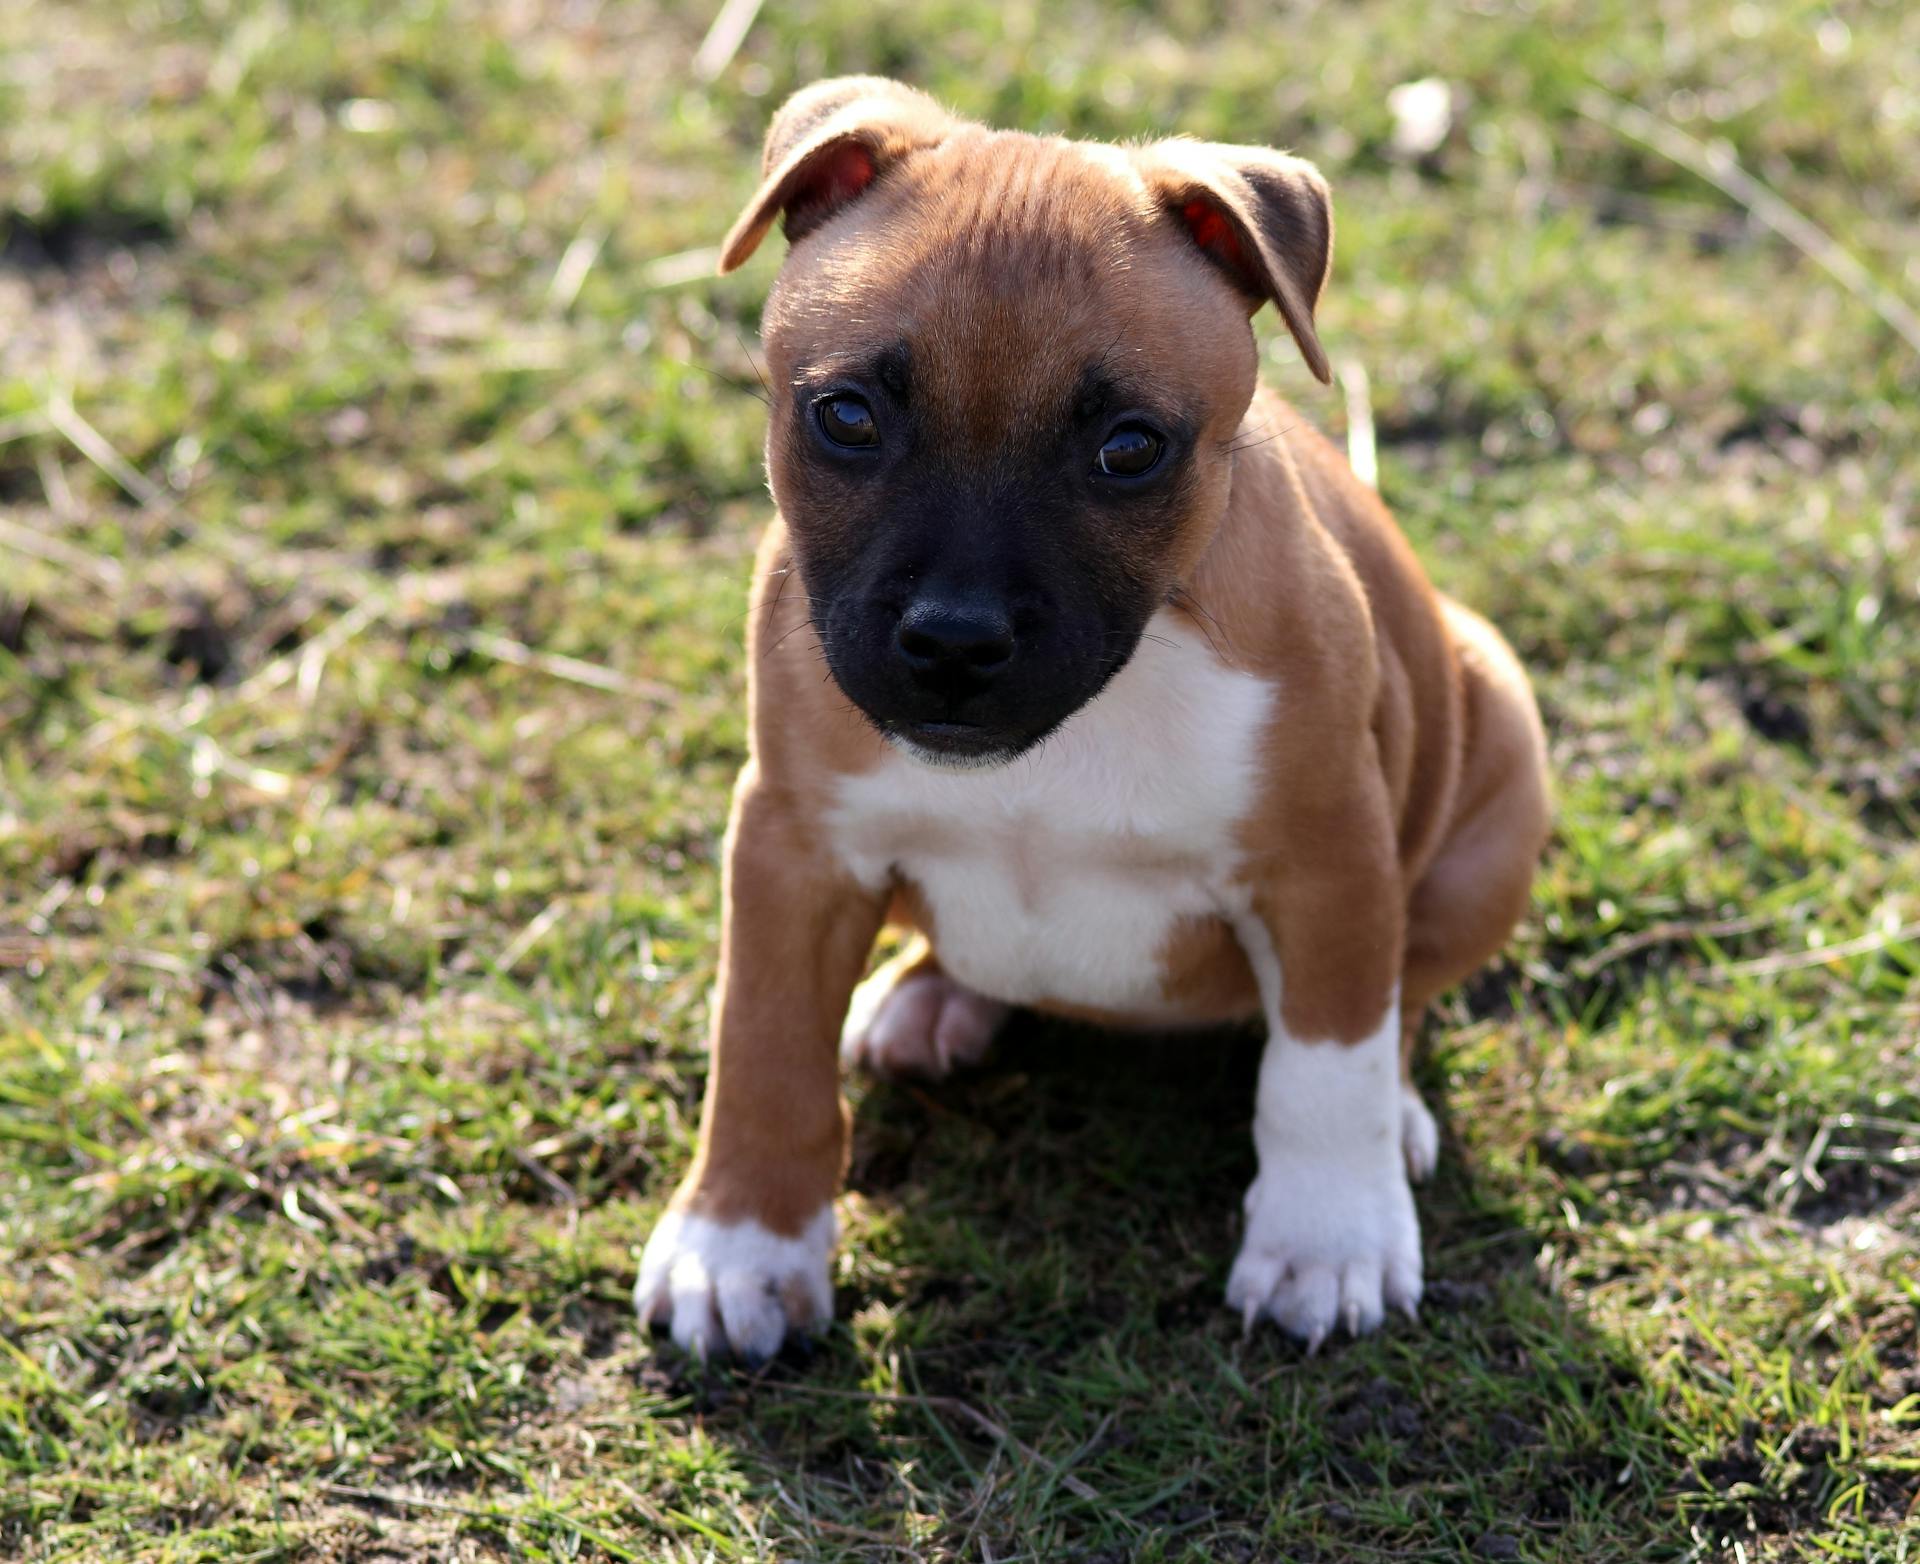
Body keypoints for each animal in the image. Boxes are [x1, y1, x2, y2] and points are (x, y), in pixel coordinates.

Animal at [637, 79, 1551, 1358]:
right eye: (847, 417)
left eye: (1130, 449)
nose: (956, 639)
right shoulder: (792, 845)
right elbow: (763, 1044)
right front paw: (741, 1247)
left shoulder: (1329, 858)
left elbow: (1326, 1062)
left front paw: (1328, 1240)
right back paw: (929, 996)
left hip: (1496, 750)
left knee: (1404, 993)